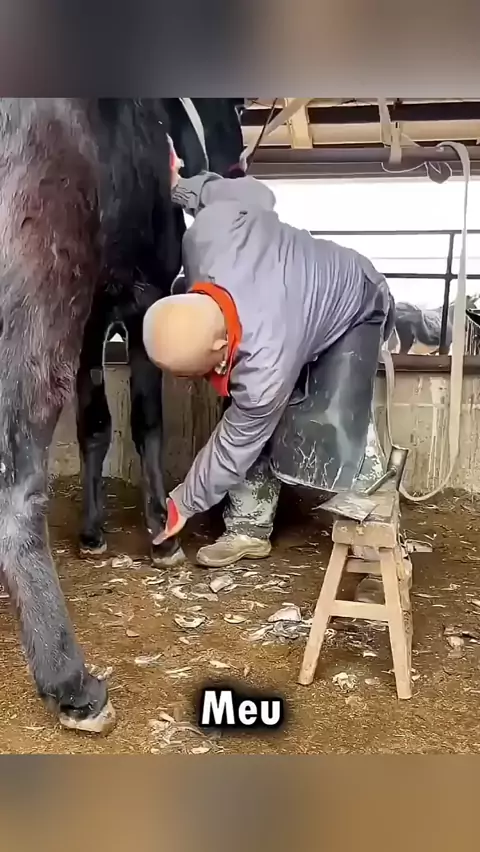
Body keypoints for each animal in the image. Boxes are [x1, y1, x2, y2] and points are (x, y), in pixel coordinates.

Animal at [0, 98, 246, 733]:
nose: (238, 170)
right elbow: (144, 418)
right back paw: (71, 682)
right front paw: (161, 529)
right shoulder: (143, 298)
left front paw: (94, 530)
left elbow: (94, 425)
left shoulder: (94, 323)